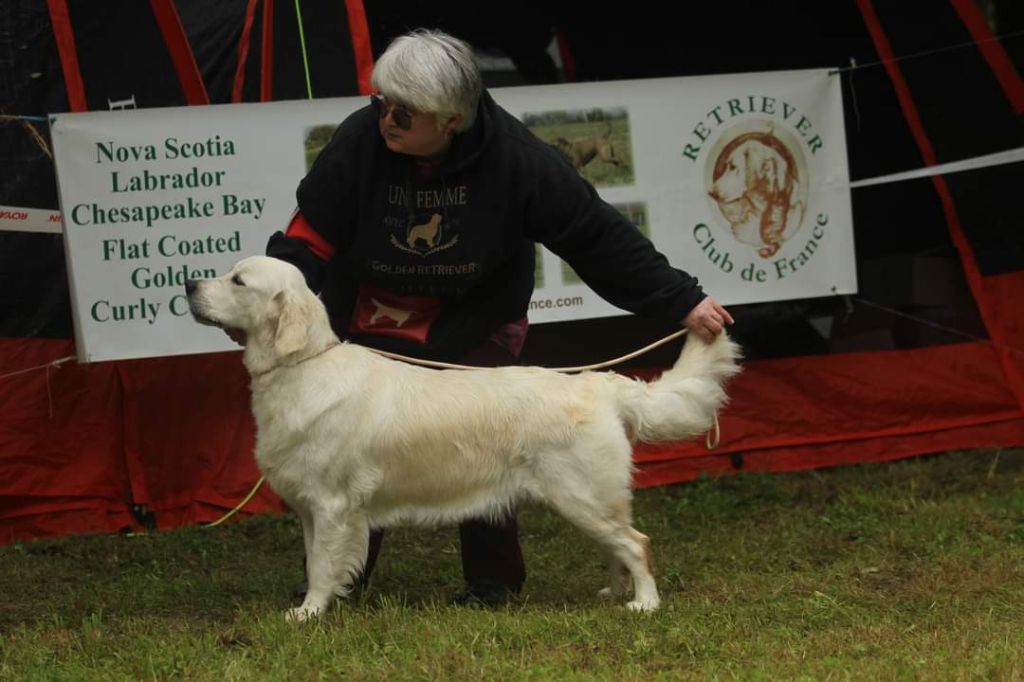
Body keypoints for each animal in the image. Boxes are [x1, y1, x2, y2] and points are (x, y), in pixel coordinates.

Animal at [184, 253, 741, 614]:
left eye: (238, 280)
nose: (188, 284)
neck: (300, 367)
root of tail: (598, 384)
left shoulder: (332, 505)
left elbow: (322, 564)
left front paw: (307, 613)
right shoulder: (309, 507)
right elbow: (317, 559)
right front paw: (317, 603)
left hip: (581, 494)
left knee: (636, 543)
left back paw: (644, 603)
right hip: (584, 500)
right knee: (617, 547)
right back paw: (615, 593)